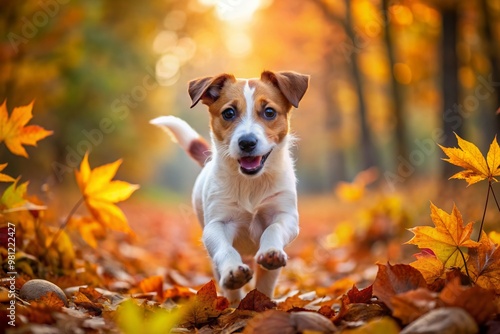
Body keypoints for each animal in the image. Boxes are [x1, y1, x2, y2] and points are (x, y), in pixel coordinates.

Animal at [150, 70, 310, 302]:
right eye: (229, 113)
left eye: (269, 112)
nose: (247, 142)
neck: (250, 183)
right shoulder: (216, 225)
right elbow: (225, 250)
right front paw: (233, 271)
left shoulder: (285, 216)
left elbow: (273, 228)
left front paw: (271, 251)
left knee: (266, 280)